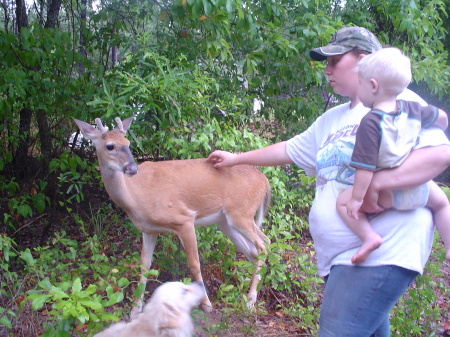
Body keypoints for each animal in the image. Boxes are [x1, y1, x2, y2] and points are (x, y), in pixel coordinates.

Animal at [74, 115, 270, 318]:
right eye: (110, 146)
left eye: (128, 143)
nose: (132, 168)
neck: (137, 196)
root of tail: (265, 180)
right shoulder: (148, 230)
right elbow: (144, 266)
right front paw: (135, 310)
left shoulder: (184, 219)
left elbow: (194, 264)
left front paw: (207, 305)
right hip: (225, 222)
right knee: (254, 251)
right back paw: (253, 294)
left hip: (241, 213)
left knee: (264, 244)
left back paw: (250, 302)